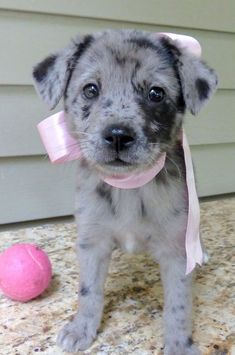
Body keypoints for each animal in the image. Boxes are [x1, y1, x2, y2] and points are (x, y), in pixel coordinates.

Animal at [32, 29, 217, 354]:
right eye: (90, 89)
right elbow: (89, 291)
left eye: (156, 93)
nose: (118, 135)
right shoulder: (91, 243)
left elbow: (178, 306)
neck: (129, 187)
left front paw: (179, 344)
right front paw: (81, 329)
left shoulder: (176, 252)